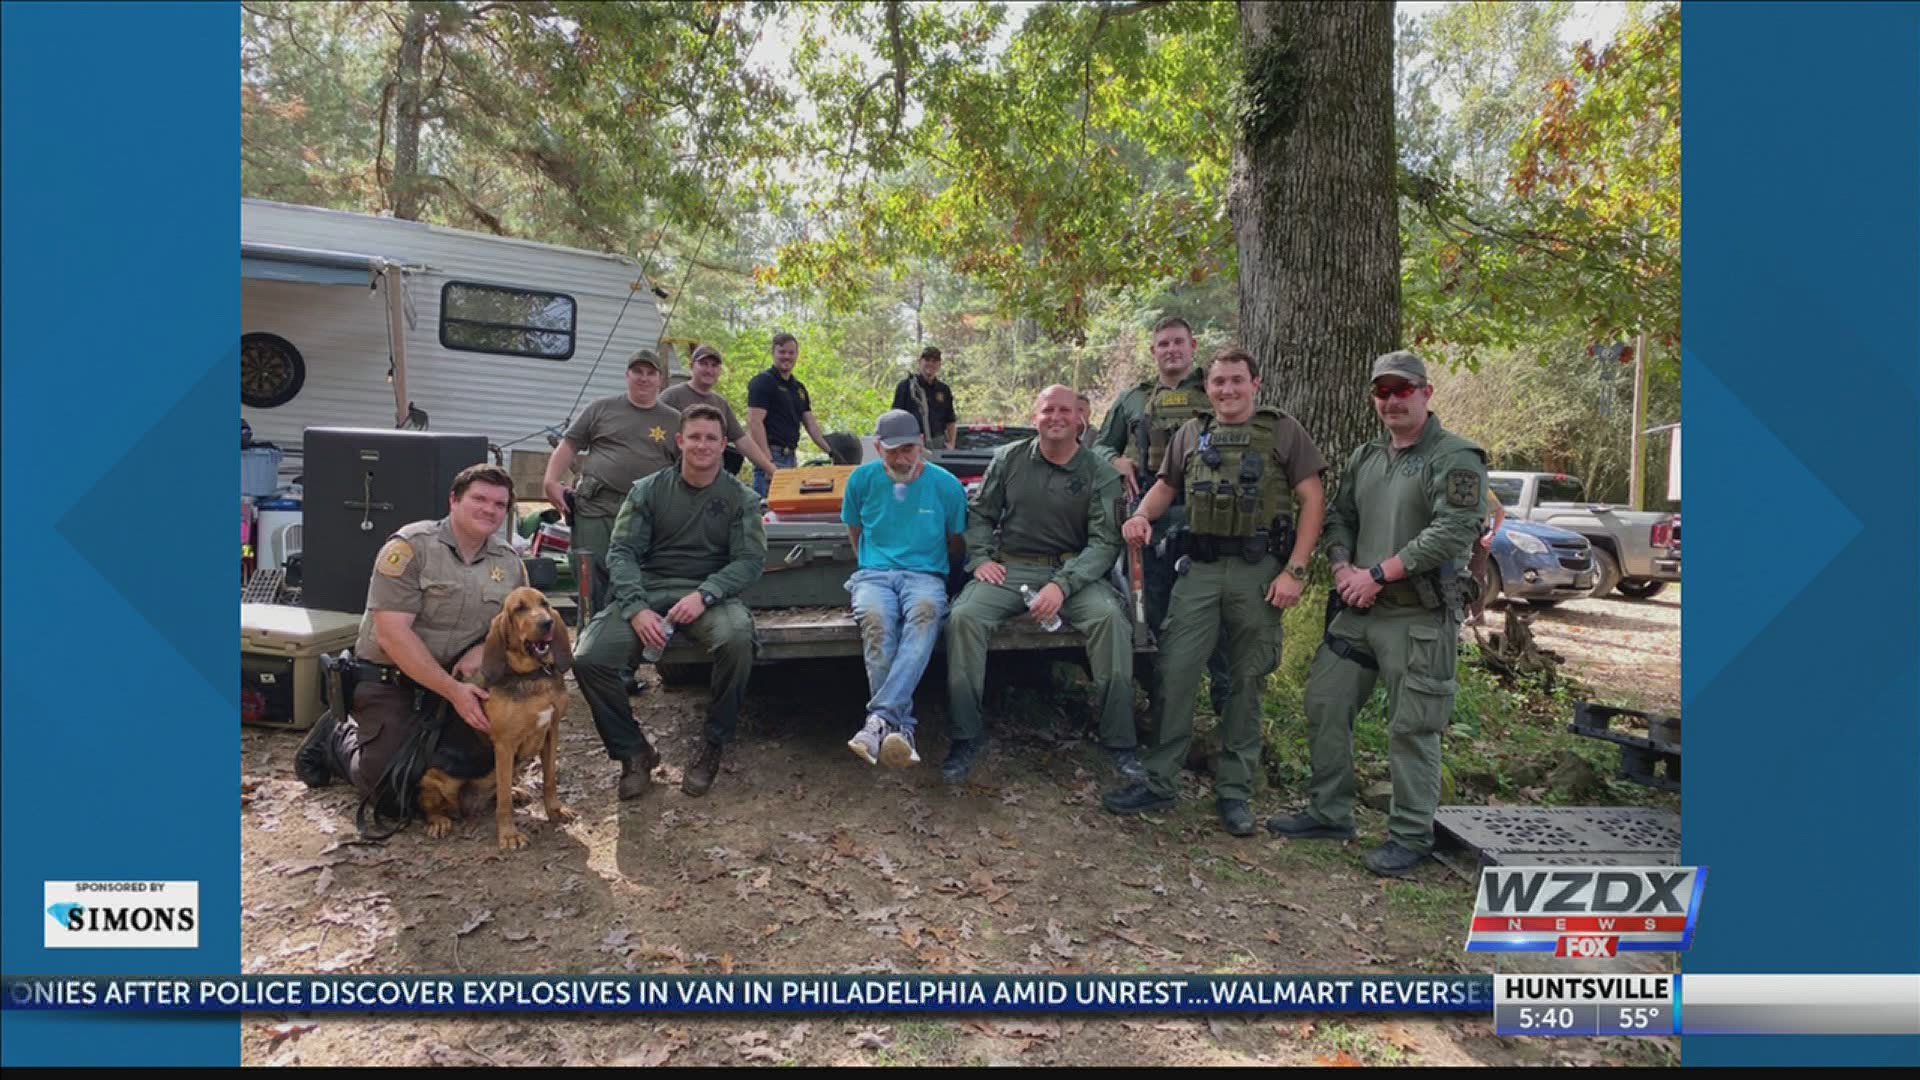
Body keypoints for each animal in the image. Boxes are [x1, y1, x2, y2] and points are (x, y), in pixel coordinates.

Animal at [418, 584, 572, 845]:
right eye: (519, 609)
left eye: (545, 604)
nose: (547, 623)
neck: (533, 676)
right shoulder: (504, 745)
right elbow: (504, 801)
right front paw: (509, 835)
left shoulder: (551, 732)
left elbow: (549, 780)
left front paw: (555, 810)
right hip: (434, 776)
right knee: (432, 808)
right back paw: (439, 821)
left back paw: (516, 792)